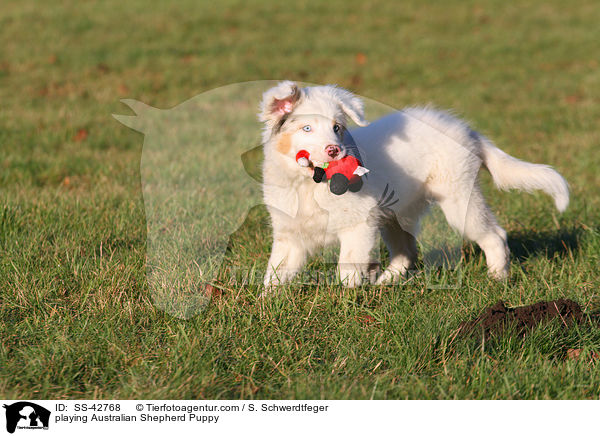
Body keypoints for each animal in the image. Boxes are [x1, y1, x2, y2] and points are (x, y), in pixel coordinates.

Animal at [258, 80, 568, 292]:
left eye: (337, 127)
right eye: (306, 128)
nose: (335, 150)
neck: (308, 184)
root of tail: (468, 131)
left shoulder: (358, 225)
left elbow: (348, 267)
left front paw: (346, 302)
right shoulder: (289, 235)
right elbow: (275, 272)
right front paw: (267, 302)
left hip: (459, 199)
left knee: (495, 235)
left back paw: (498, 278)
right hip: (396, 214)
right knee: (406, 251)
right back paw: (385, 282)